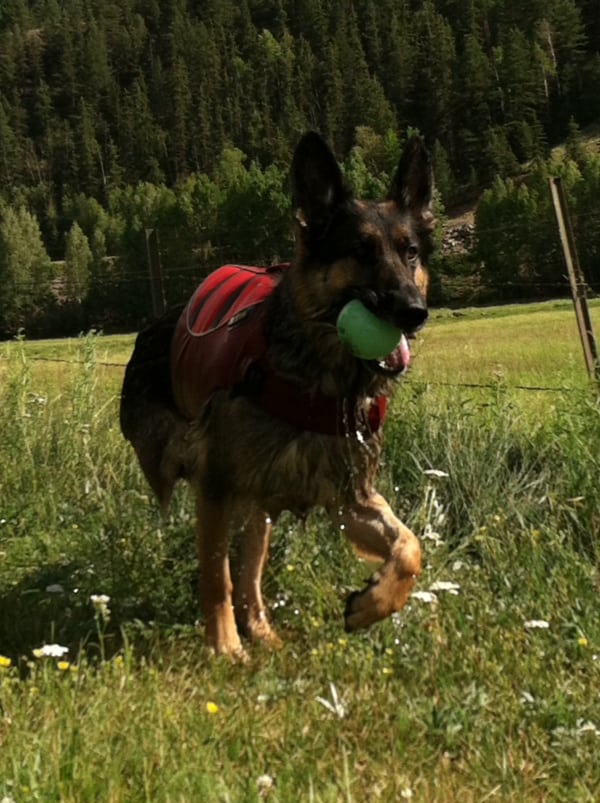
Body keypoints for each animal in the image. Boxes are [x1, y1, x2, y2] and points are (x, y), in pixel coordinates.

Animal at [119, 132, 434, 660]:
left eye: (410, 253)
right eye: (361, 252)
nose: (415, 312)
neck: (317, 375)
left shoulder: (351, 498)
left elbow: (410, 547)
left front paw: (372, 604)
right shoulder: (215, 485)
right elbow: (215, 577)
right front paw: (224, 648)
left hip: (260, 508)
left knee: (251, 576)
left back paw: (264, 632)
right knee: (228, 562)